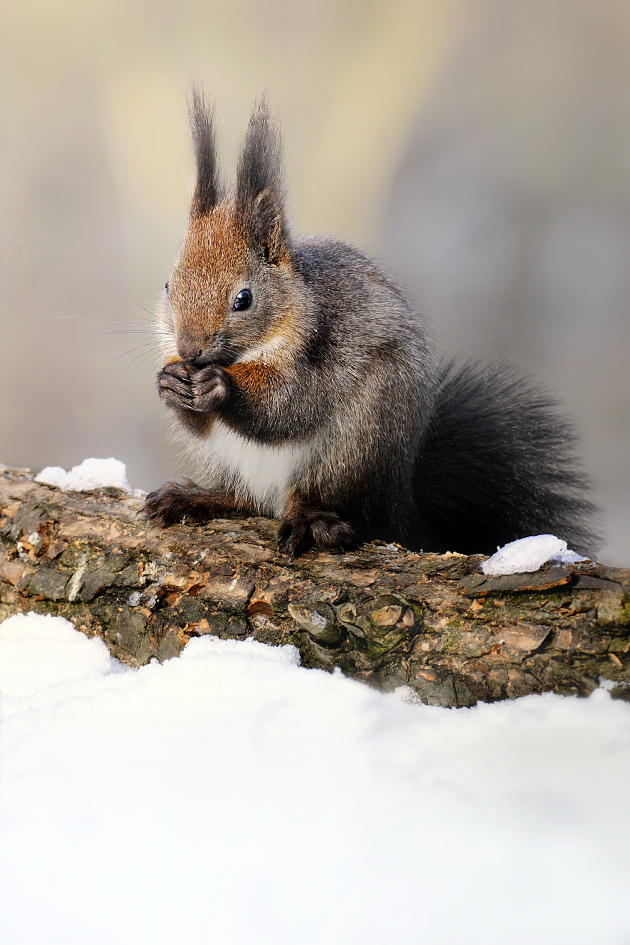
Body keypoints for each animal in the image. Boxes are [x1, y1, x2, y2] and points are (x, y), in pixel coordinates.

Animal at [144, 91, 604, 556]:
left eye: (244, 299)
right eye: (168, 284)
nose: (188, 350)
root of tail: (400, 502)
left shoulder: (322, 352)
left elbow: (291, 405)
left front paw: (219, 386)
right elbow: (201, 425)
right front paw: (169, 383)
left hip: (359, 441)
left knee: (320, 499)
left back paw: (308, 519)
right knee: (247, 500)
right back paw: (197, 496)